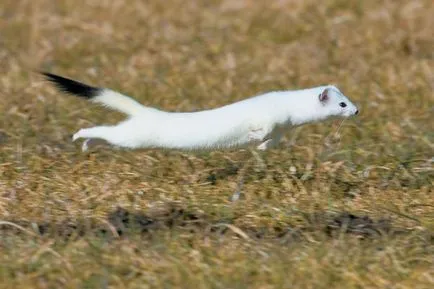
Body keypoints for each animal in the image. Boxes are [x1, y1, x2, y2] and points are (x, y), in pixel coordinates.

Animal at [42, 72, 358, 151]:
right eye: (342, 104)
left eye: (349, 98)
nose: (356, 110)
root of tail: (147, 112)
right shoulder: (269, 116)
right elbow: (262, 127)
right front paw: (255, 137)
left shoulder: (283, 128)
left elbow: (274, 139)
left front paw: (263, 147)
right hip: (135, 136)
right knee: (105, 130)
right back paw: (79, 135)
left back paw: (87, 144)